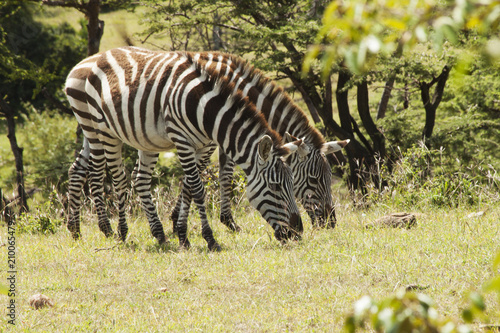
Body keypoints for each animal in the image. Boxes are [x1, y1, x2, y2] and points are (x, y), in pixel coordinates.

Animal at [64, 46, 302, 249]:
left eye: (294, 184)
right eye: (275, 187)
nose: (297, 232)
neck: (206, 110)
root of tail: (100, 56)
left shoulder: (202, 145)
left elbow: (188, 185)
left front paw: (182, 234)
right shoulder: (184, 141)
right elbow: (199, 187)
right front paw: (210, 238)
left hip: (134, 135)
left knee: (116, 175)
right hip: (100, 130)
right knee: (112, 177)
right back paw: (117, 232)